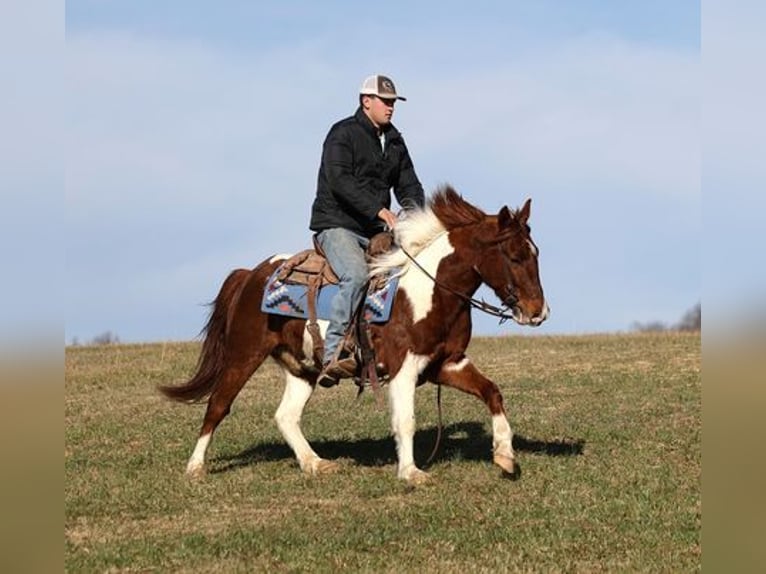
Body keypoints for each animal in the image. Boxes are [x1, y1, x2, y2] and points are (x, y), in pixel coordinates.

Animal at [159, 187, 548, 484]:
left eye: (536, 253)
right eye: (514, 255)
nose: (538, 312)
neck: (428, 290)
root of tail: (252, 273)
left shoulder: (446, 363)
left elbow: (492, 392)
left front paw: (505, 455)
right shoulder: (403, 368)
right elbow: (405, 420)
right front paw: (410, 473)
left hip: (302, 368)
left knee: (286, 416)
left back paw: (314, 463)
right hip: (243, 354)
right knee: (218, 405)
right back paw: (195, 467)